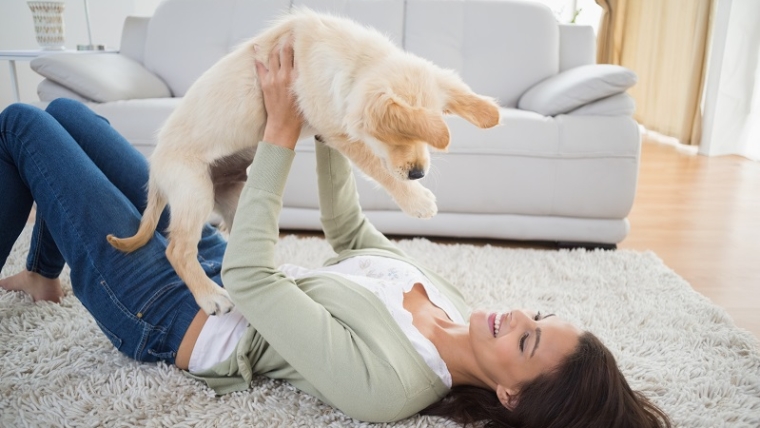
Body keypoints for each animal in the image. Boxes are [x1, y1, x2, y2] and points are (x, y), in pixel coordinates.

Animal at [105, 7, 498, 314]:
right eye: (393, 140)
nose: (417, 173)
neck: (355, 61)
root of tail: (156, 169)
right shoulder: (338, 131)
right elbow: (377, 167)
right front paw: (416, 200)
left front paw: (486, 111)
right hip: (194, 189)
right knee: (177, 250)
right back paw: (209, 296)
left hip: (234, 195)